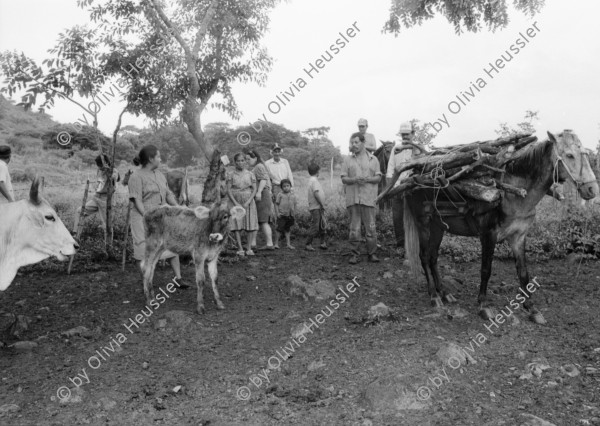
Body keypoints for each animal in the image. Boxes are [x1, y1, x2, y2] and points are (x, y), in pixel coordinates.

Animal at [404, 130, 600, 322]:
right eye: (569, 155)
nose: (592, 190)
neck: (512, 194)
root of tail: (414, 176)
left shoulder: (518, 236)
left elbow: (523, 272)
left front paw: (532, 308)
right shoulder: (488, 235)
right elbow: (486, 269)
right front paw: (483, 306)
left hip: (438, 226)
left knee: (433, 257)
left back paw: (444, 293)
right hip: (423, 223)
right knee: (424, 256)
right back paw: (434, 296)